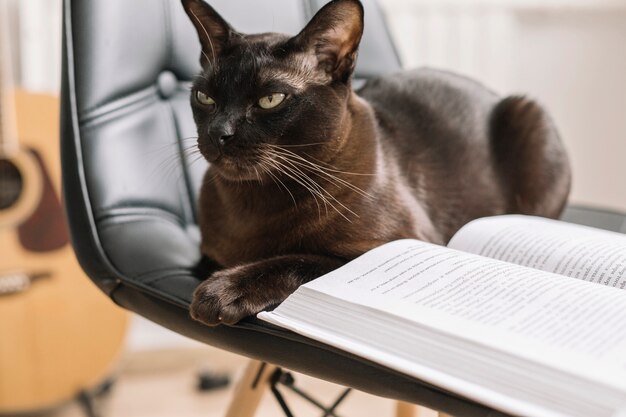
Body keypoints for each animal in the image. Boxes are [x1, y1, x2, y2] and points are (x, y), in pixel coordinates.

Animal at [180, 0, 572, 326]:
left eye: (270, 99)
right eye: (205, 97)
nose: (219, 133)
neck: (253, 205)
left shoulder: (393, 244)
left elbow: (299, 260)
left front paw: (221, 292)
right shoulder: (205, 257)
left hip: (528, 114)